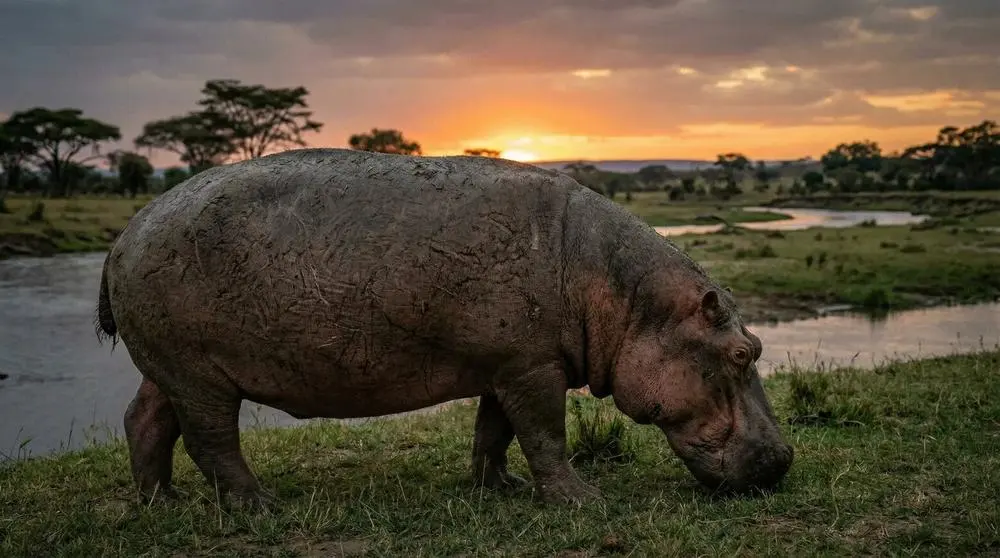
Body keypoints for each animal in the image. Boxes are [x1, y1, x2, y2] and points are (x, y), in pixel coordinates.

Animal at [95, 148, 793, 506]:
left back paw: (161, 501)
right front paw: (583, 502)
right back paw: (260, 507)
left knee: (144, 421)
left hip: (170, 367)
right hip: (200, 372)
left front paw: (500, 489)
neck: (629, 299)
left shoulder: (510, 363)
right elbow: (546, 435)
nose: (785, 457)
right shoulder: (533, 370)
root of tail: (125, 232)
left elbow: (496, 432)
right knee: (211, 439)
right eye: (743, 352)